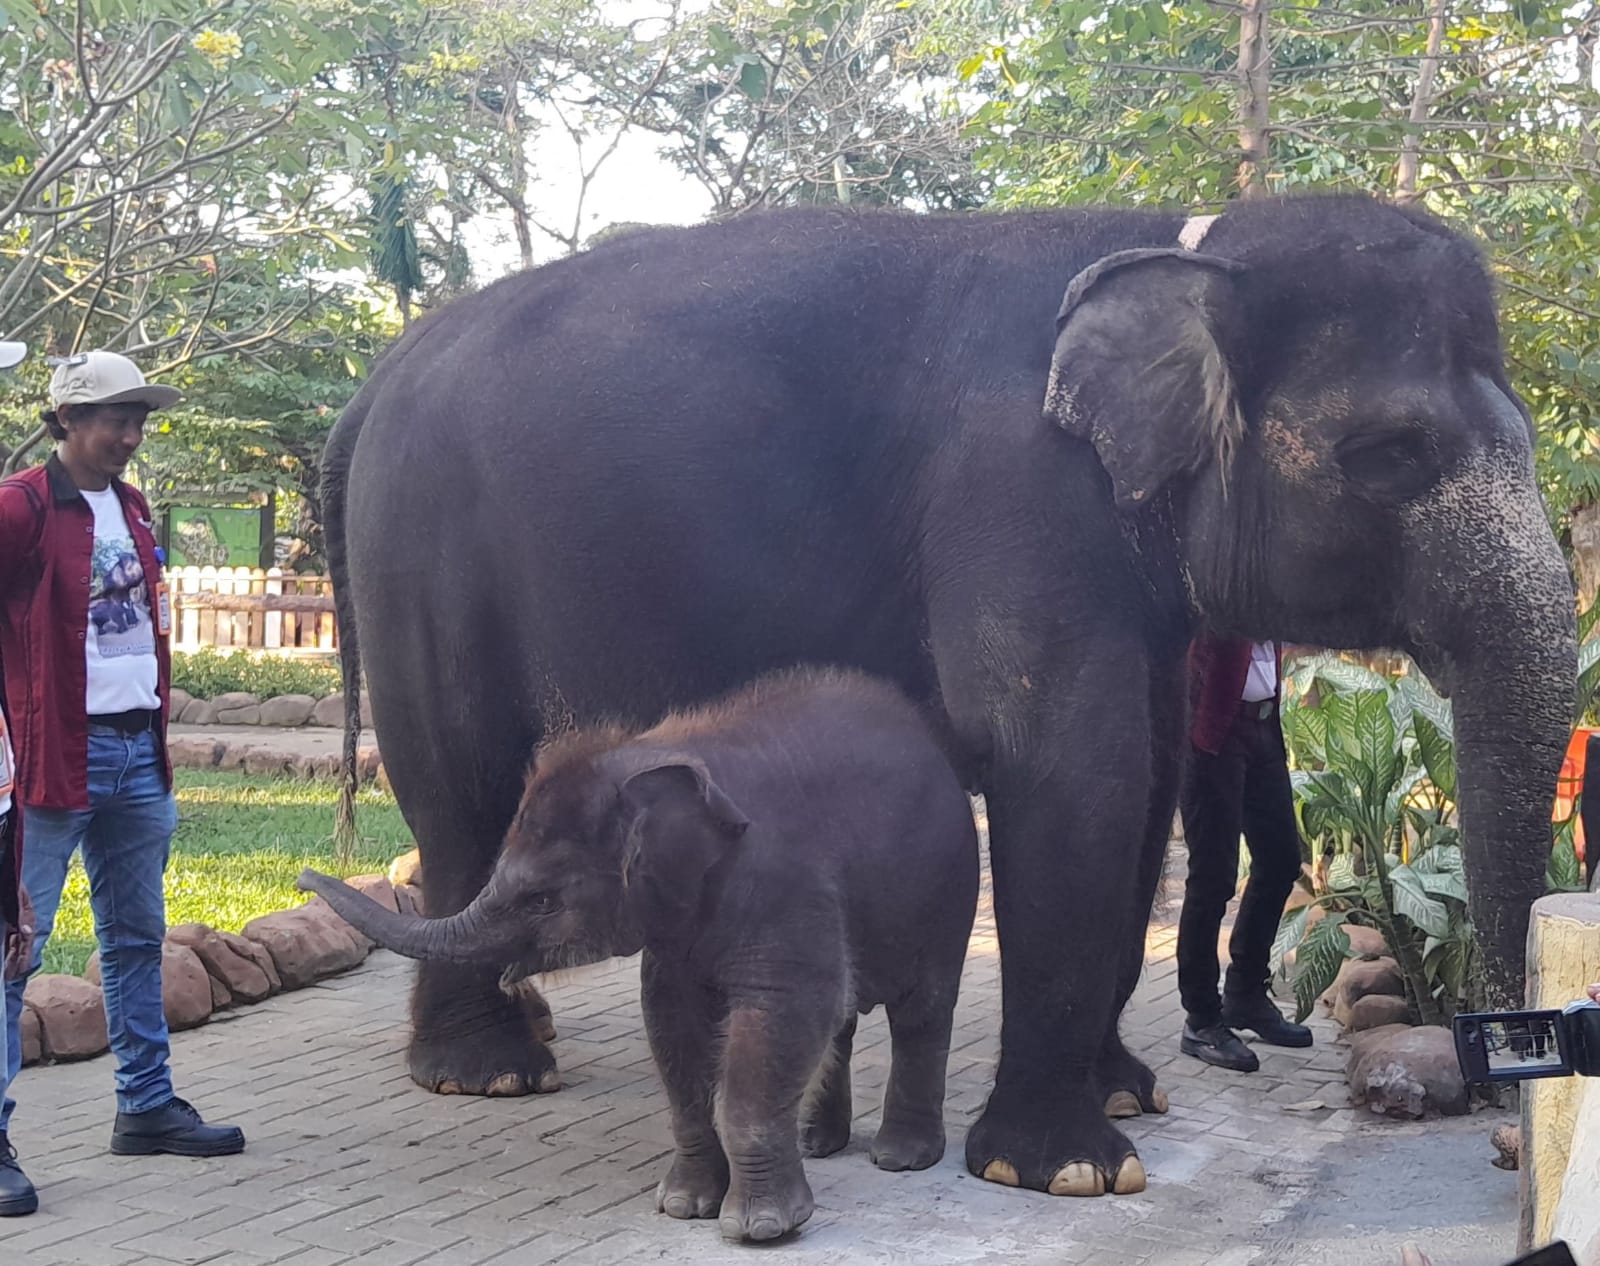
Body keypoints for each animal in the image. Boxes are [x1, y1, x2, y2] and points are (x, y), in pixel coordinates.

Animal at [299, 669, 972, 1241]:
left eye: (542, 899)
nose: (305, 875)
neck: (666, 758)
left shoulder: (791, 889)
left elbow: (780, 1020)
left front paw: (761, 1229)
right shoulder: (674, 928)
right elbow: (672, 1026)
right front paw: (684, 1207)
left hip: (946, 894)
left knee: (922, 1011)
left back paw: (901, 1158)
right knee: (846, 1020)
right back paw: (816, 1143)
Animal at [321, 195, 1574, 1197]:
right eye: (1389, 454)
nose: (1502, 1119)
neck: (1188, 236)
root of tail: (374, 379)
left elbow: (1146, 780)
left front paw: (1123, 1099)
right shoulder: (1016, 497)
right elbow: (1073, 774)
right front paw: (1064, 1171)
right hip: (421, 560)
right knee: (461, 791)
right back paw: (488, 1073)